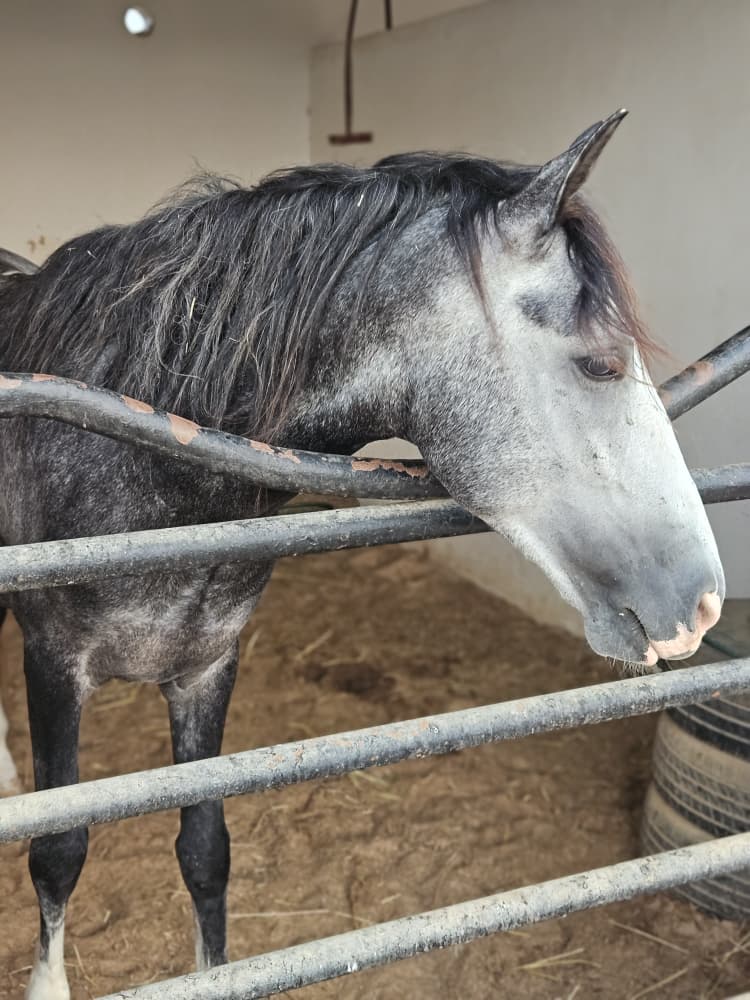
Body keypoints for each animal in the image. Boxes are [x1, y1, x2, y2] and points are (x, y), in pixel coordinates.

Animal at [0, 110, 724, 999]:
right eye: (600, 362)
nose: (705, 605)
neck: (144, 445)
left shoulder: (206, 668)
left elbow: (205, 852)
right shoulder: (54, 665)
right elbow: (58, 850)